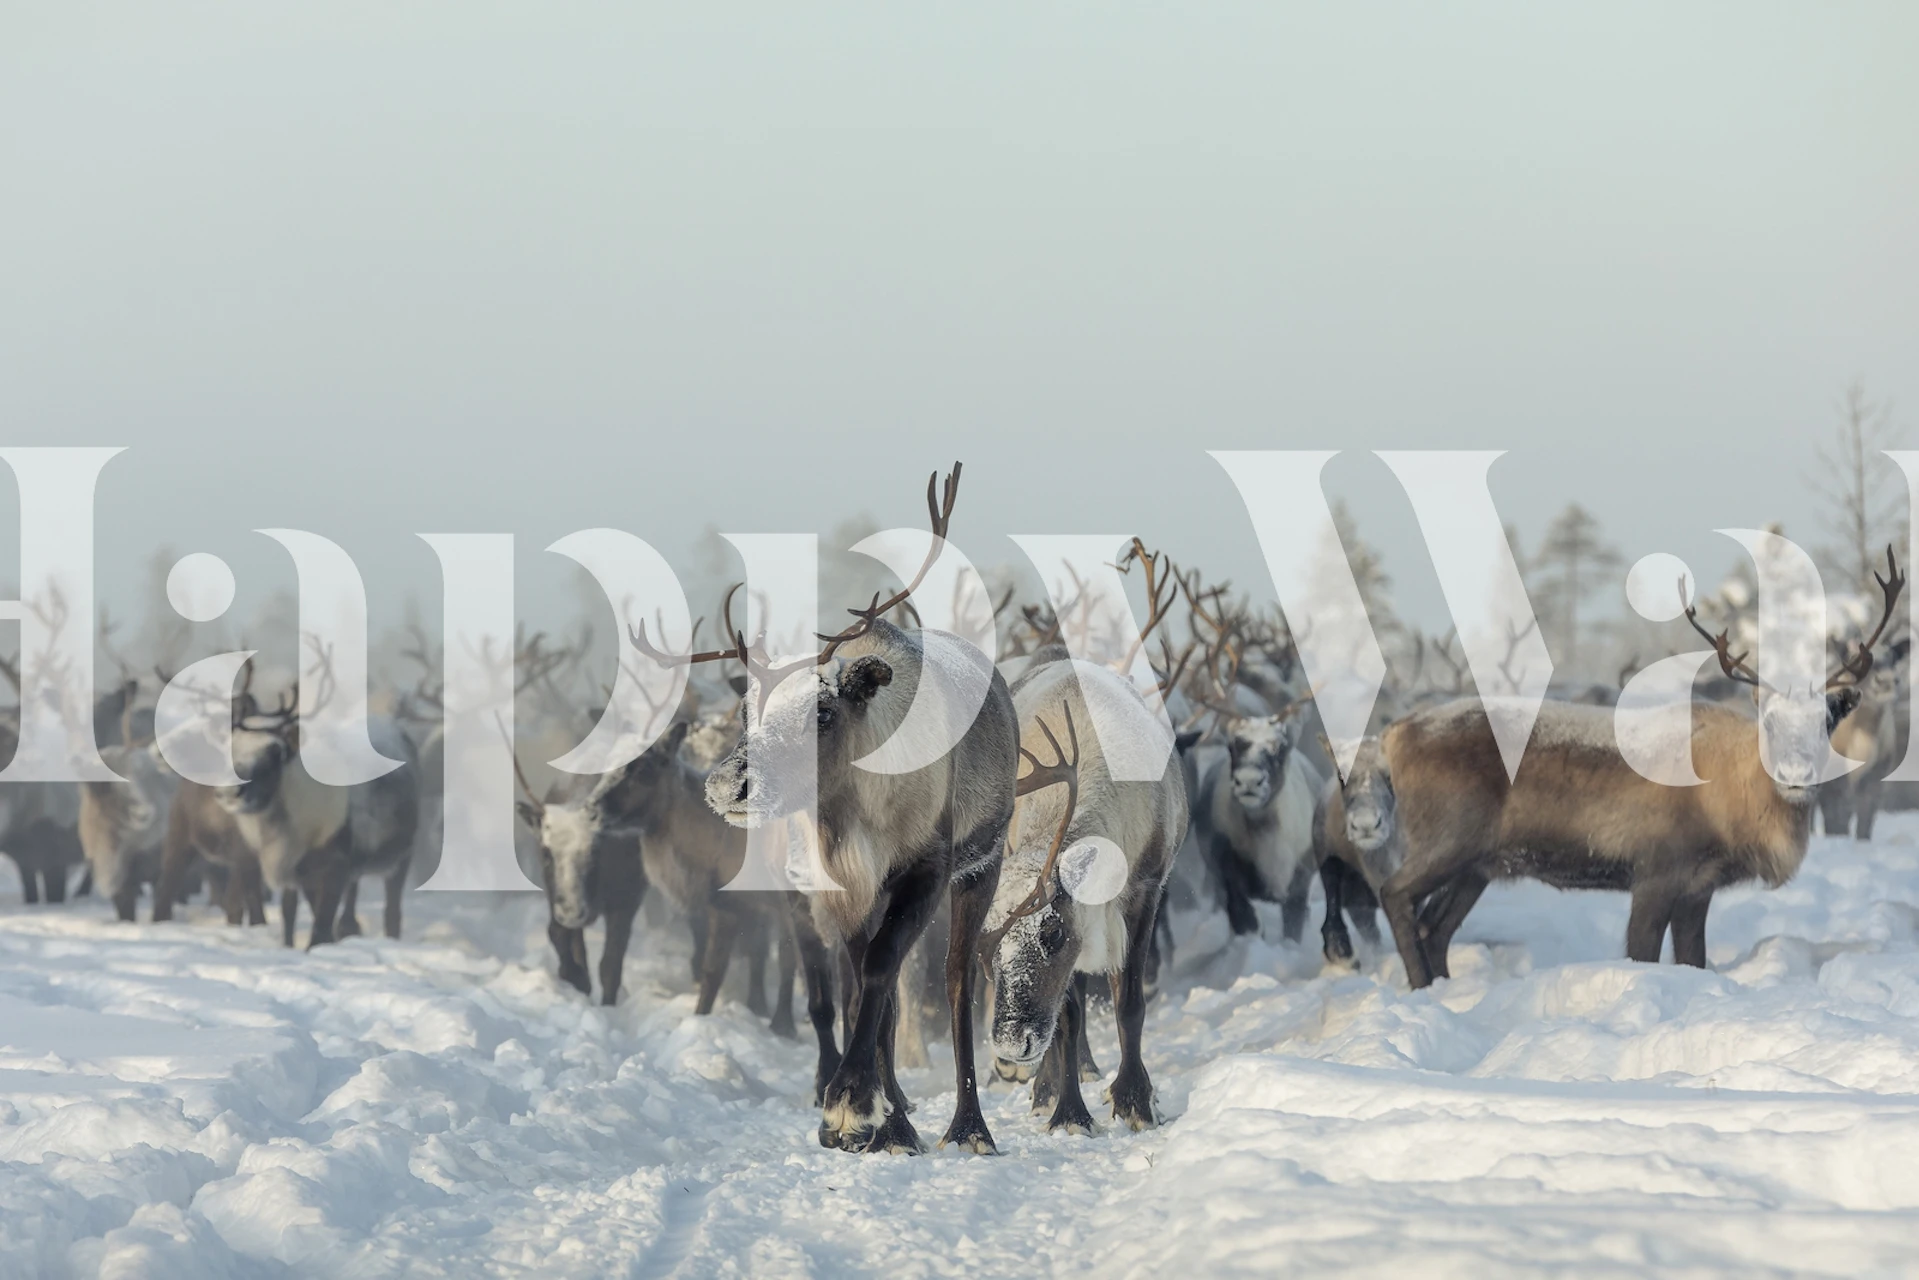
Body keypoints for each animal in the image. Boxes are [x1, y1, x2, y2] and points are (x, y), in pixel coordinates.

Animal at [639, 462, 1020, 1156]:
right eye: (746, 710)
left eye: (821, 712)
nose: (726, 785)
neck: (855, 819)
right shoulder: (835, 888)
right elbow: (860, 985)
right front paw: (875, 1116)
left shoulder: (926, 870)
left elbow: (882, 970)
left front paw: (850, 1105)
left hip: (984, 860)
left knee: (952, 977)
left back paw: (968, 1125)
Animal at [1375, 548, 1904, 988]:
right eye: (1768, 722)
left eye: (1828, 721)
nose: (1795, 775)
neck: (1730, 803)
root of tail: (1395, 733)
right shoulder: (1655, 869)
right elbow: (1642, 953)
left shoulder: (1698, 884)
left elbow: (1694, 959)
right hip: (1446, 837)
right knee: (1396, 895)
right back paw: (1422, 989)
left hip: (1479, 864)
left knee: (1435, 927)